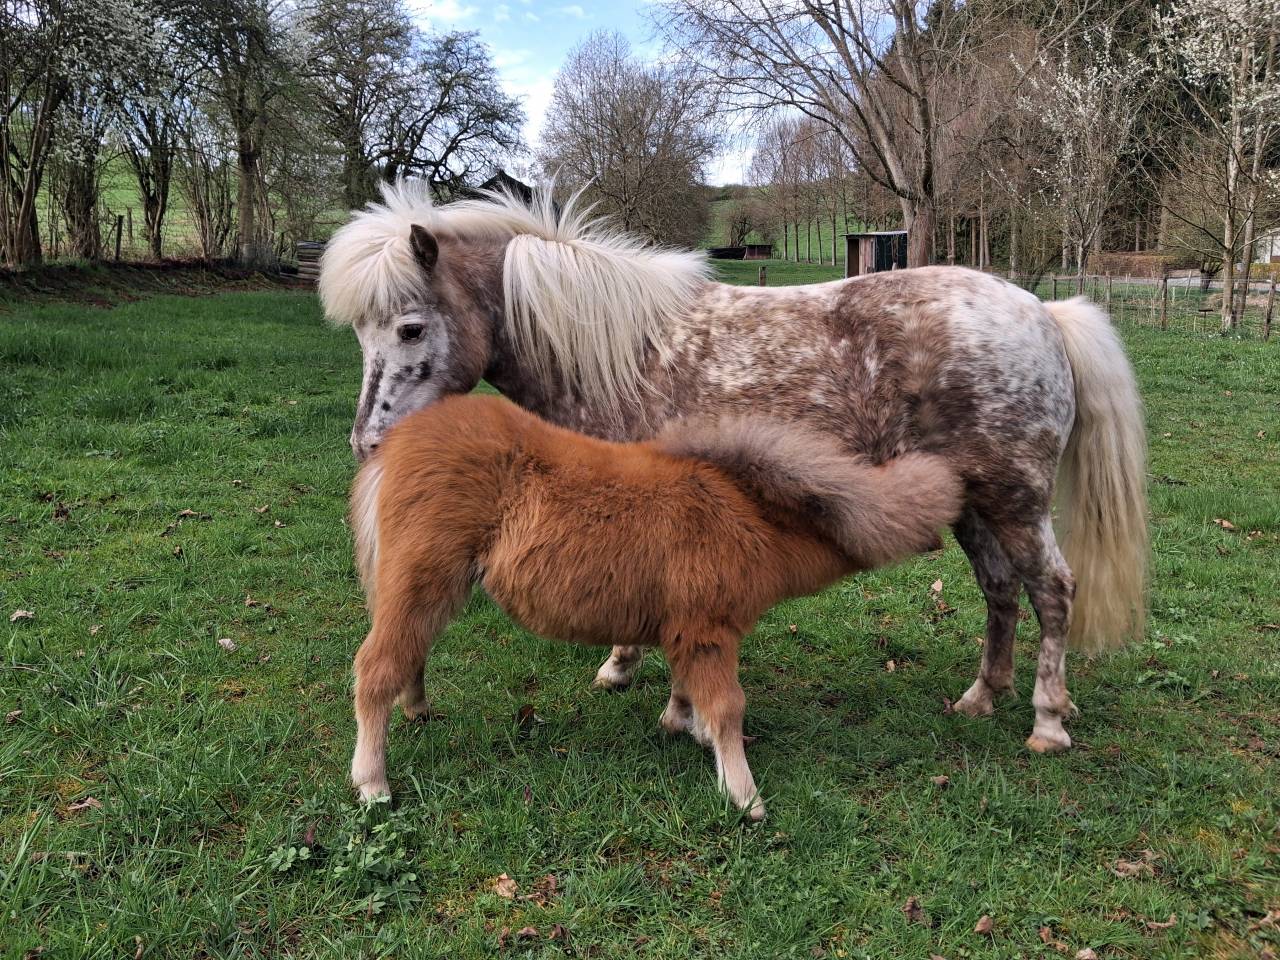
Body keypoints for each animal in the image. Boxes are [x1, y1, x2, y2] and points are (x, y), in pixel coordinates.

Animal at [319, 180, 1147, 756]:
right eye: (359, 333)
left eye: (410, 327)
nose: (368, 444)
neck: (618, 352)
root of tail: (1044, 313)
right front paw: (630, 670)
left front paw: (638, 678)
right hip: (974, 503)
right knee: (1001, 591)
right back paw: (982, 695)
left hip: (1016, 499)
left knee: (1052, 591)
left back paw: (1047, 721)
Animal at [348, 393, 964, 818]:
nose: (946, 539)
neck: (750, 514)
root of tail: (395, 447)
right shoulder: (709, 631)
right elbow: (727, 706)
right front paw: (745, 797)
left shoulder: (683, 630)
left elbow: (687, 690)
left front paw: (683, 728)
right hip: (424, 578)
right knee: (375, 667)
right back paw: (373, 784)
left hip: (423, 587)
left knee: (408, 654)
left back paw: (418, 710)